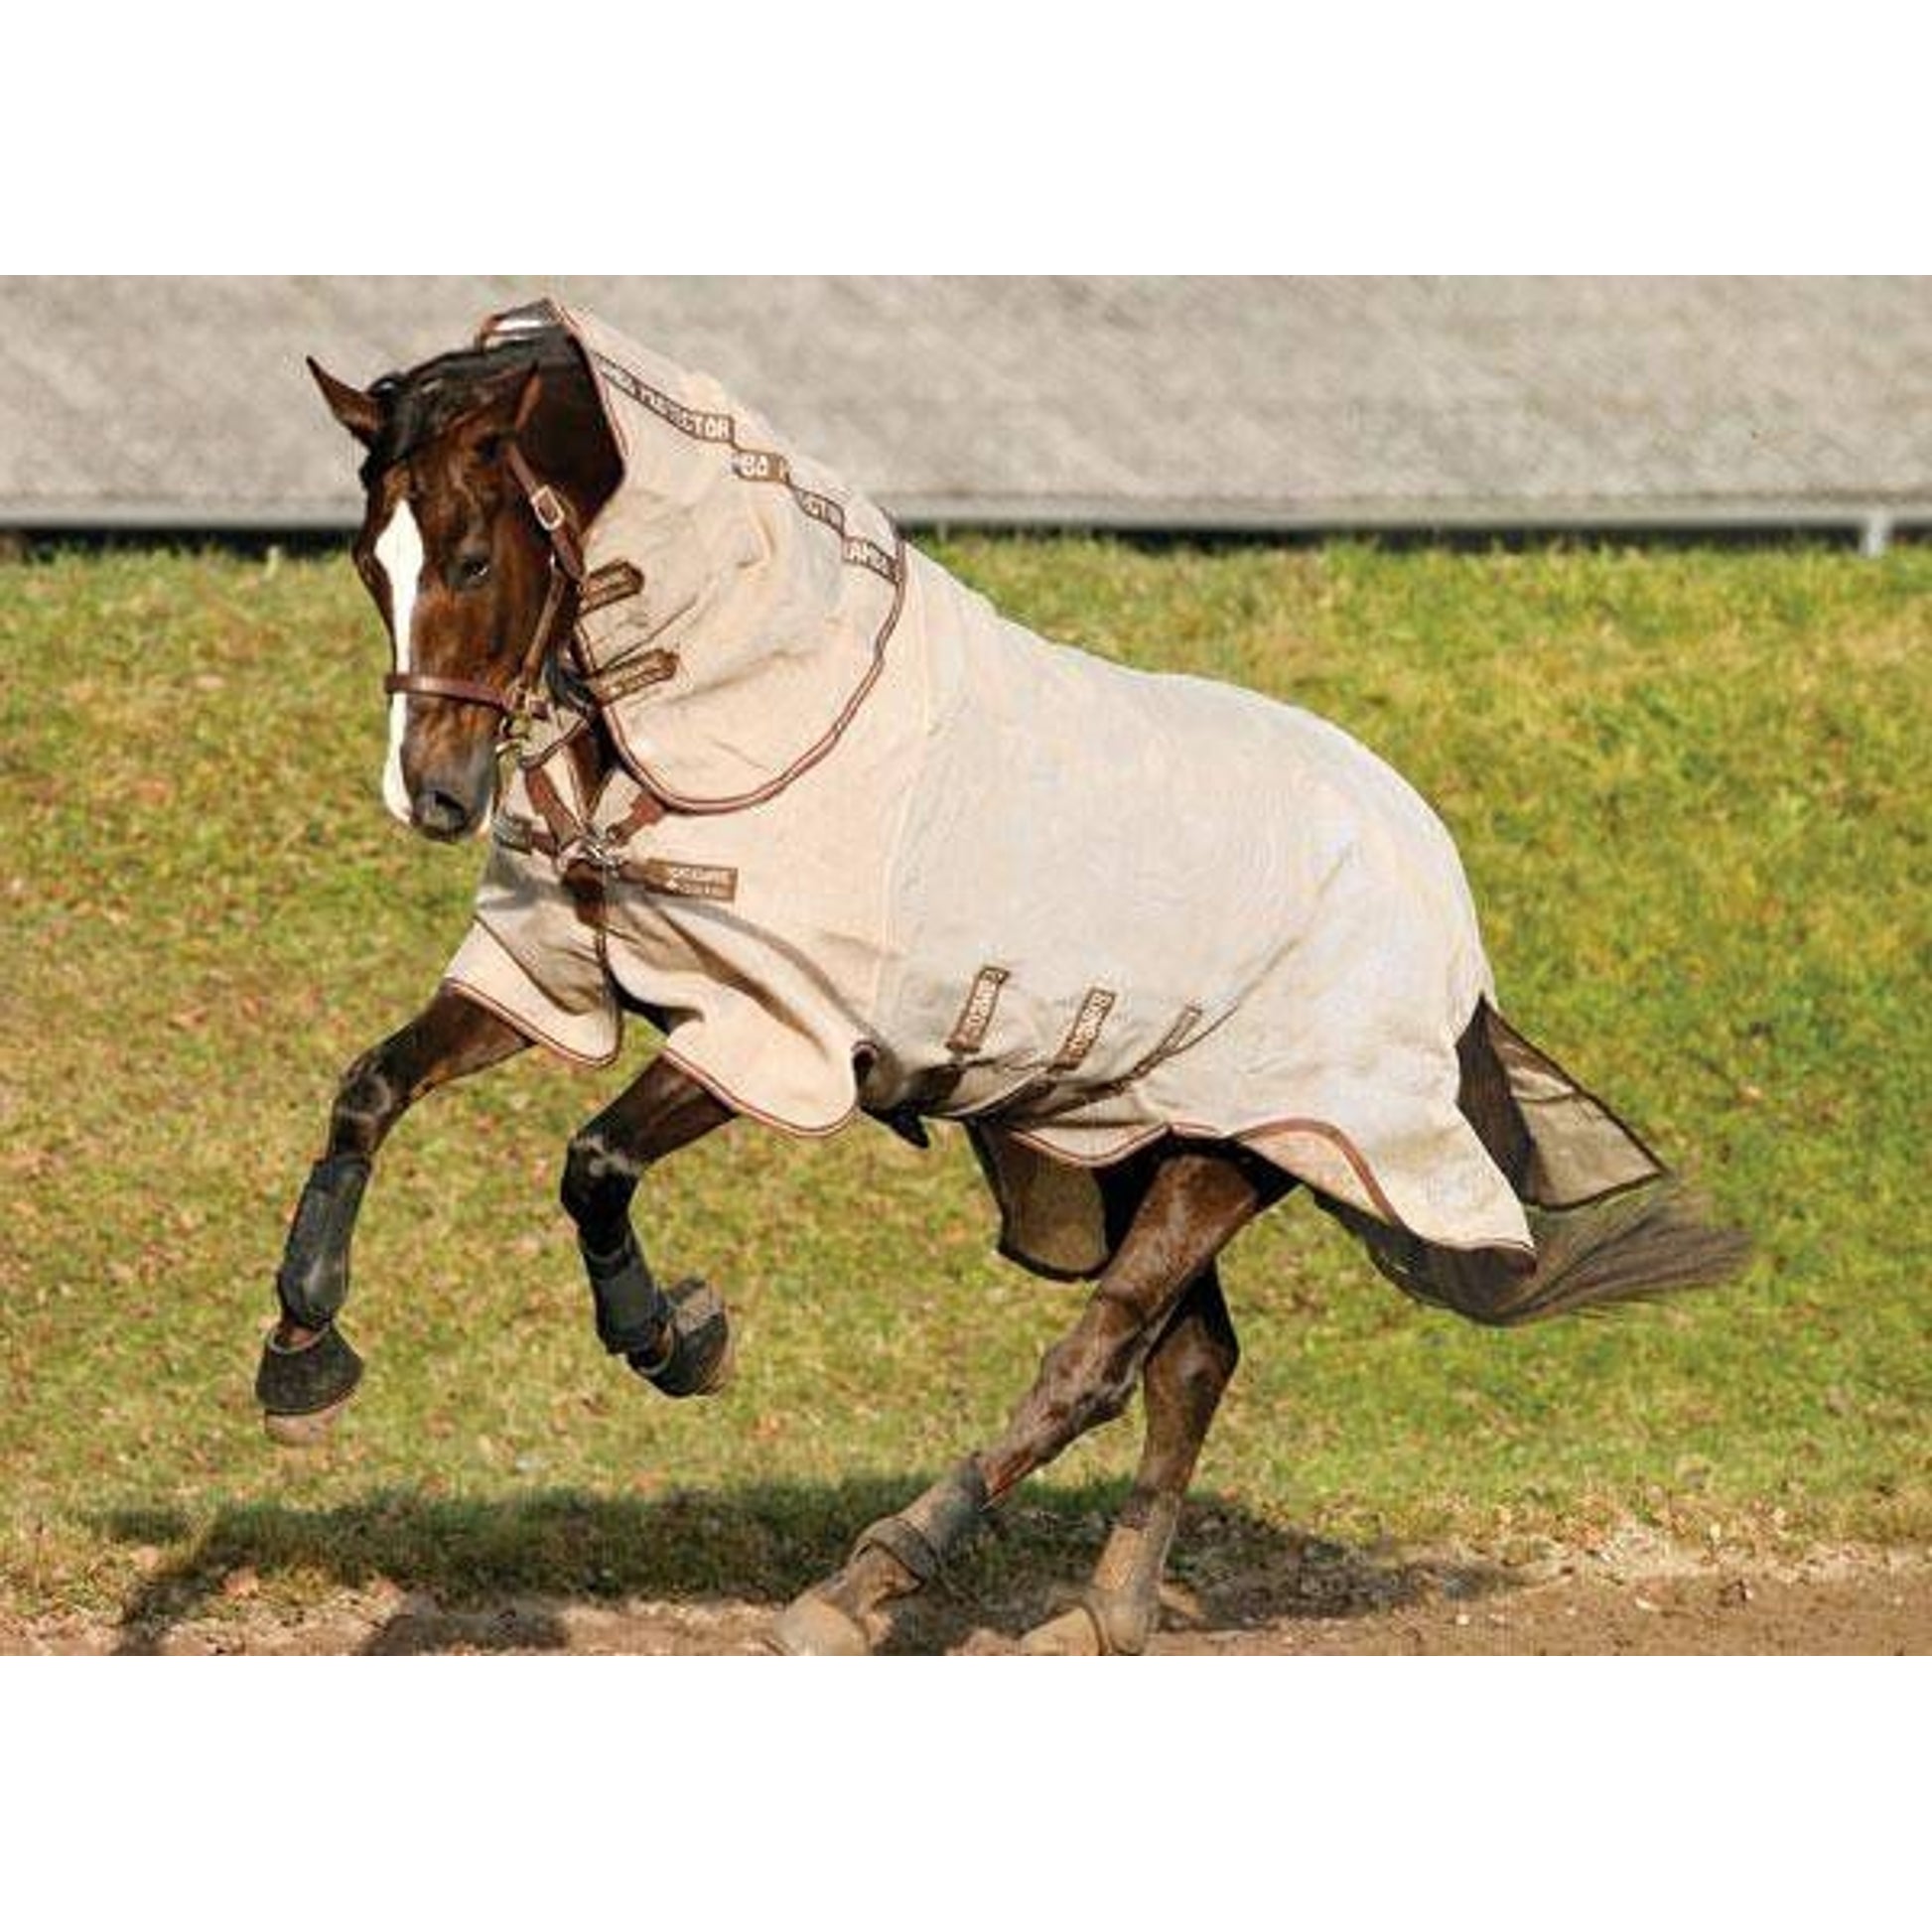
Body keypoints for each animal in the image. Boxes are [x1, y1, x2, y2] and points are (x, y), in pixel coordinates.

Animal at [263, 300, 1749, 1654]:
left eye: (468, 553)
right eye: (366, 562)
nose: (436, 796)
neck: (735, 695)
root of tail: (1439, 901)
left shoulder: (767, 1031)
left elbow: (593, 1163)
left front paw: (674, 1335)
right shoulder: (555, 971)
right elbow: (370, 1089)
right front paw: (302, 1352)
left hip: (1245, 1147)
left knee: (1096, 1361)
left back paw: (864, 1585)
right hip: (1134, 1142)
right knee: (1189, 1361)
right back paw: (1103, 1611)